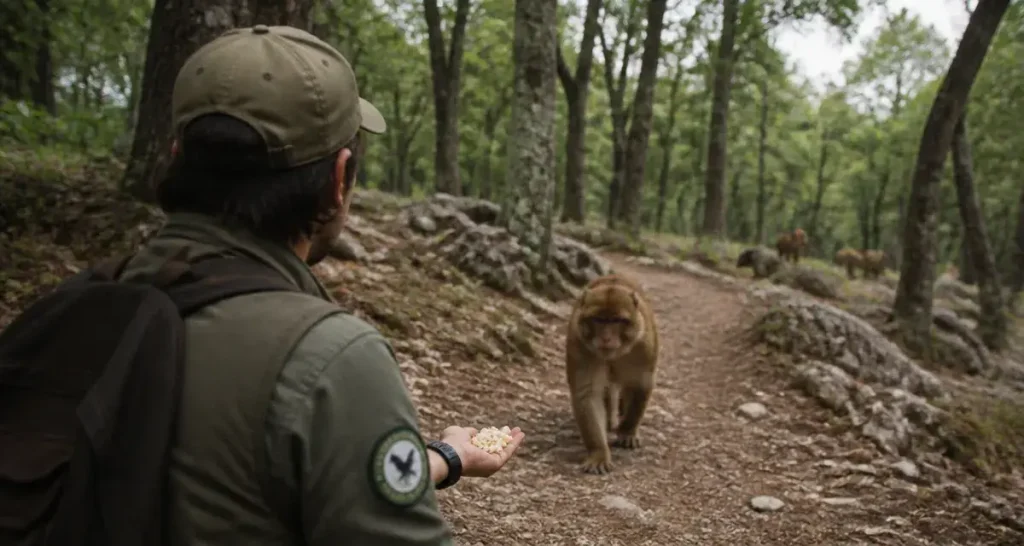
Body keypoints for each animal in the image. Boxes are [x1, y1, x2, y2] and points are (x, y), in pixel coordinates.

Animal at [565, 273, 659, 475]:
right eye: (598, 319)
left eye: (617, 321)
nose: (606, 338)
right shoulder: (579, 345)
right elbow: (588, 394)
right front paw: (599, 453)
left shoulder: (643, 348)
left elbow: (639, 385)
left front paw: (627, 431)